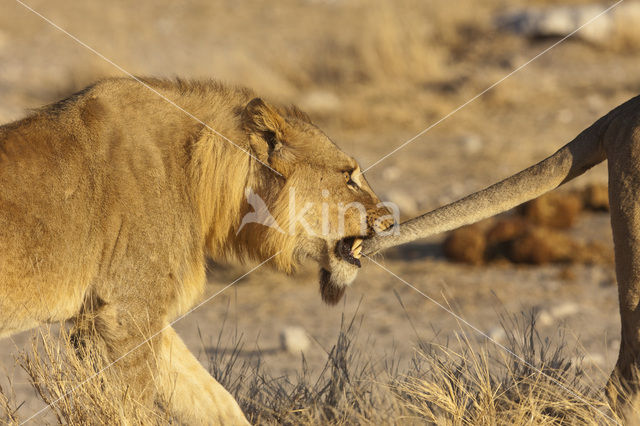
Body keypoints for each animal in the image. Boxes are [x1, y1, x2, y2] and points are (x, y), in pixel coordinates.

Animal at [0, 78, 396, 424]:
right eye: (348, 176)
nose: (391, 221)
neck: (198, 177)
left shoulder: (123, 313)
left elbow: (214, 400)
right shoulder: (127, 310)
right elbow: (135, 405)